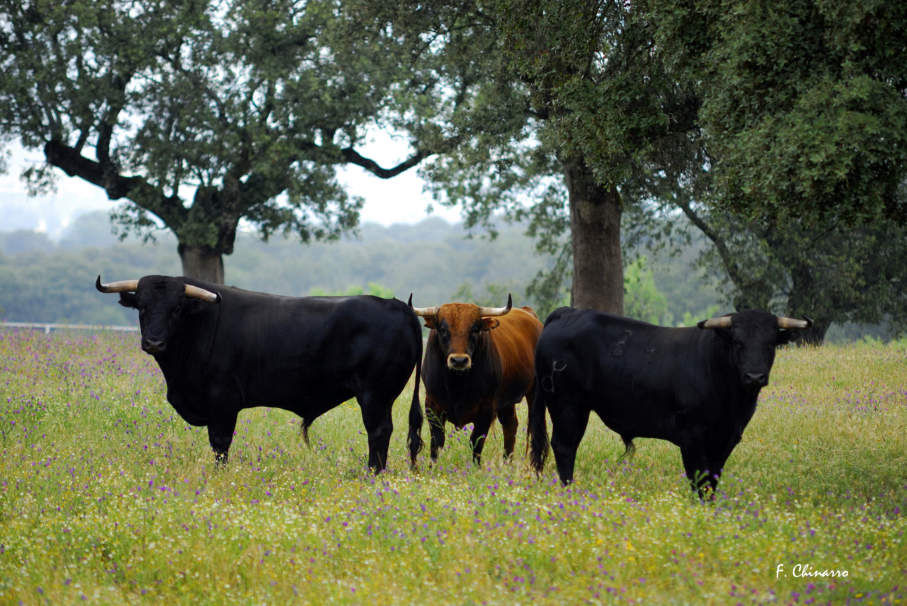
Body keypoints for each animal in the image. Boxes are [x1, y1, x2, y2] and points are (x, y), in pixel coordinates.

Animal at [97, 276, 424, 470]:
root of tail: (399, 306)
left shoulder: (223, 402)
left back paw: (373, 473)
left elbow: (220, 444)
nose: (153, 342)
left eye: (176, 309)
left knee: (379, 432)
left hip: (375, 395)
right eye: (141, 307)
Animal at [414, 296, 548, 464]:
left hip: (534, 393)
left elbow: (476, 442)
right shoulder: (432, 406)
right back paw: (507, 462)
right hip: (507, 401)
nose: (459, 360)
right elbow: (436, 442)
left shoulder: (486, 410)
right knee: (510, 425)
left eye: (475, 329)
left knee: (536, 427)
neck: (456, 384)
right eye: (443, 329)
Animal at [528, 312, 812, 496]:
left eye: (770, 344)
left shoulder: (727, 439)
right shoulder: (692, 437)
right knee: (564, 447)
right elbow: (699, 478)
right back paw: (569, 491)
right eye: (737, 343)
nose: (755, 376)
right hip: (568, 406)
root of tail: (567, 312)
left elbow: (712, 478)